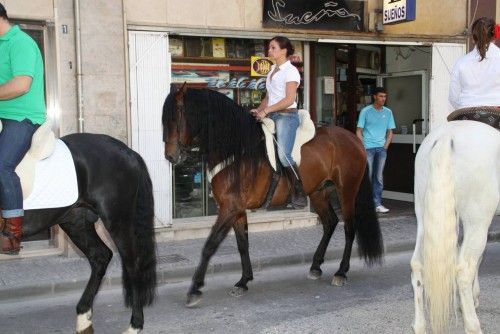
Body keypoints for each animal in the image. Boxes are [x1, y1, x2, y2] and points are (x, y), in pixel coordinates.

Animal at [1, 133, 156, 334]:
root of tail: (127, 151)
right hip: (75, 222)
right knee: (100, 256)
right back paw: (83, 318)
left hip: (117, 220)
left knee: (131, 264)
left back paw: (134, 325)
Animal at [161, 85, 382, 306]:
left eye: (176, 117)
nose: (170, 156)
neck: (236, 150)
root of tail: (354, 139)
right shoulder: (236, 209)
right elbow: (242, 244)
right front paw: (243, 281)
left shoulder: (229, 208)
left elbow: (210, 245)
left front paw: (195, 289)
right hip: (318, 192)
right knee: (330, 223)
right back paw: (315, 266)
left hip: (347, 191)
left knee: (349, 228)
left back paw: (341, 272)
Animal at [412, 120, 498, 334]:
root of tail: (446, 136)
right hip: (478, 222)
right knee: (464, 270)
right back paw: (473, 326)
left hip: (424, 219)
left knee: (417, 264)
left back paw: (420, 325)